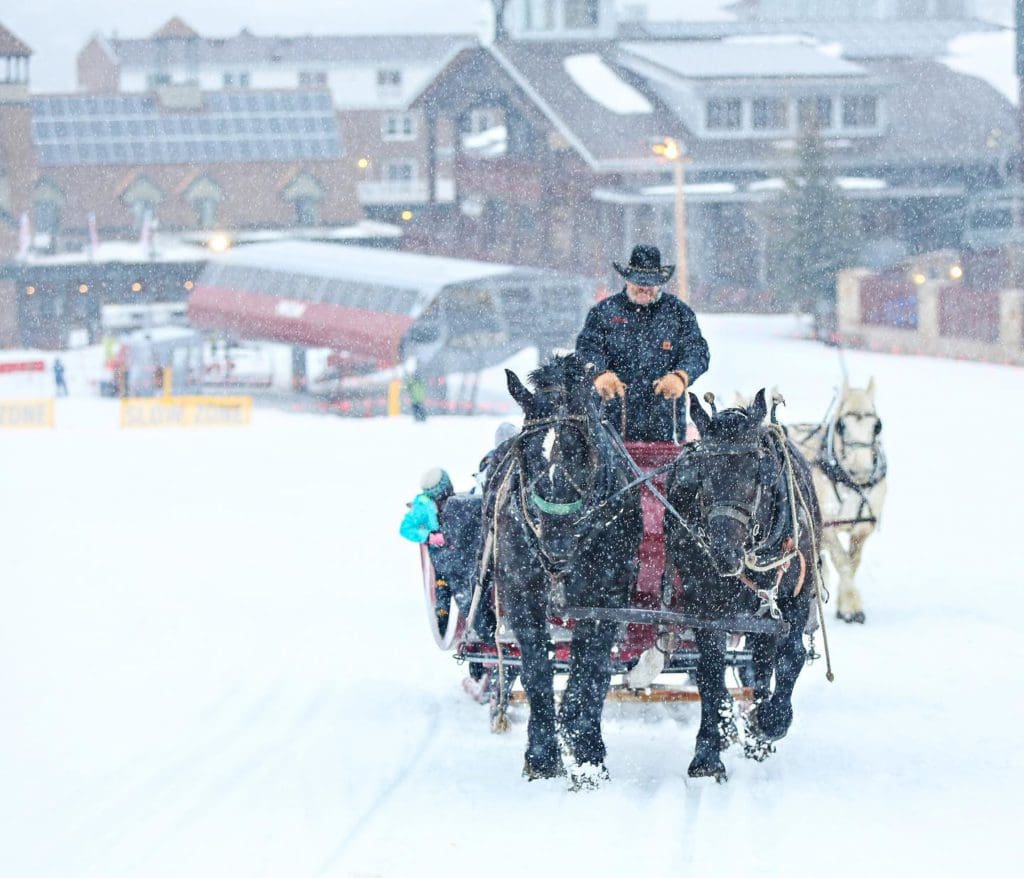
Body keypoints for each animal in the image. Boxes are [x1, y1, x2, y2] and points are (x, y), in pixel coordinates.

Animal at [487, 356, 638, 786]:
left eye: (580, 450)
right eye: (525, 448)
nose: (555, 541)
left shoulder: (606, 601)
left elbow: (589, 669)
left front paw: (585, 747)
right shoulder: (521, 595)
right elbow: (537, 671)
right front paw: (541, 757)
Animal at [663, 391, 823, 782]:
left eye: (759, 473)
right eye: (700, 474)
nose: (724, 554)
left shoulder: (793, 598)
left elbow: (791, 656)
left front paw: (772, 721)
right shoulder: (705, 608)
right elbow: (710, 670)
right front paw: (708, 749)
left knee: (763, 662)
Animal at [786, 379, 884, 622]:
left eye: (877, 426)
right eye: (841, 426)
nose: (862, 469)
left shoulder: (863, 529)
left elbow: (853, 562)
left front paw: (846, 603)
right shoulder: (828, 525)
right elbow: (842, 561)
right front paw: (851, 608)